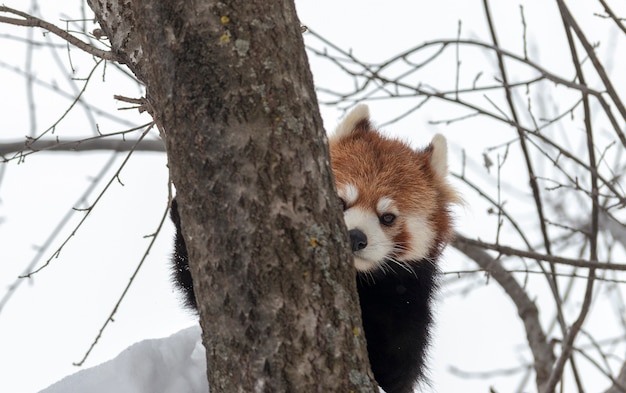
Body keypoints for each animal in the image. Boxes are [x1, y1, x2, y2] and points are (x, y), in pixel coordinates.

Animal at [168, 105, 456, 392]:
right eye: (340, 202)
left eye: (387, 218)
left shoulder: (408, 303)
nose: (355, 237)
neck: (360, 282)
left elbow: (396, 367)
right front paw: (180, 211)